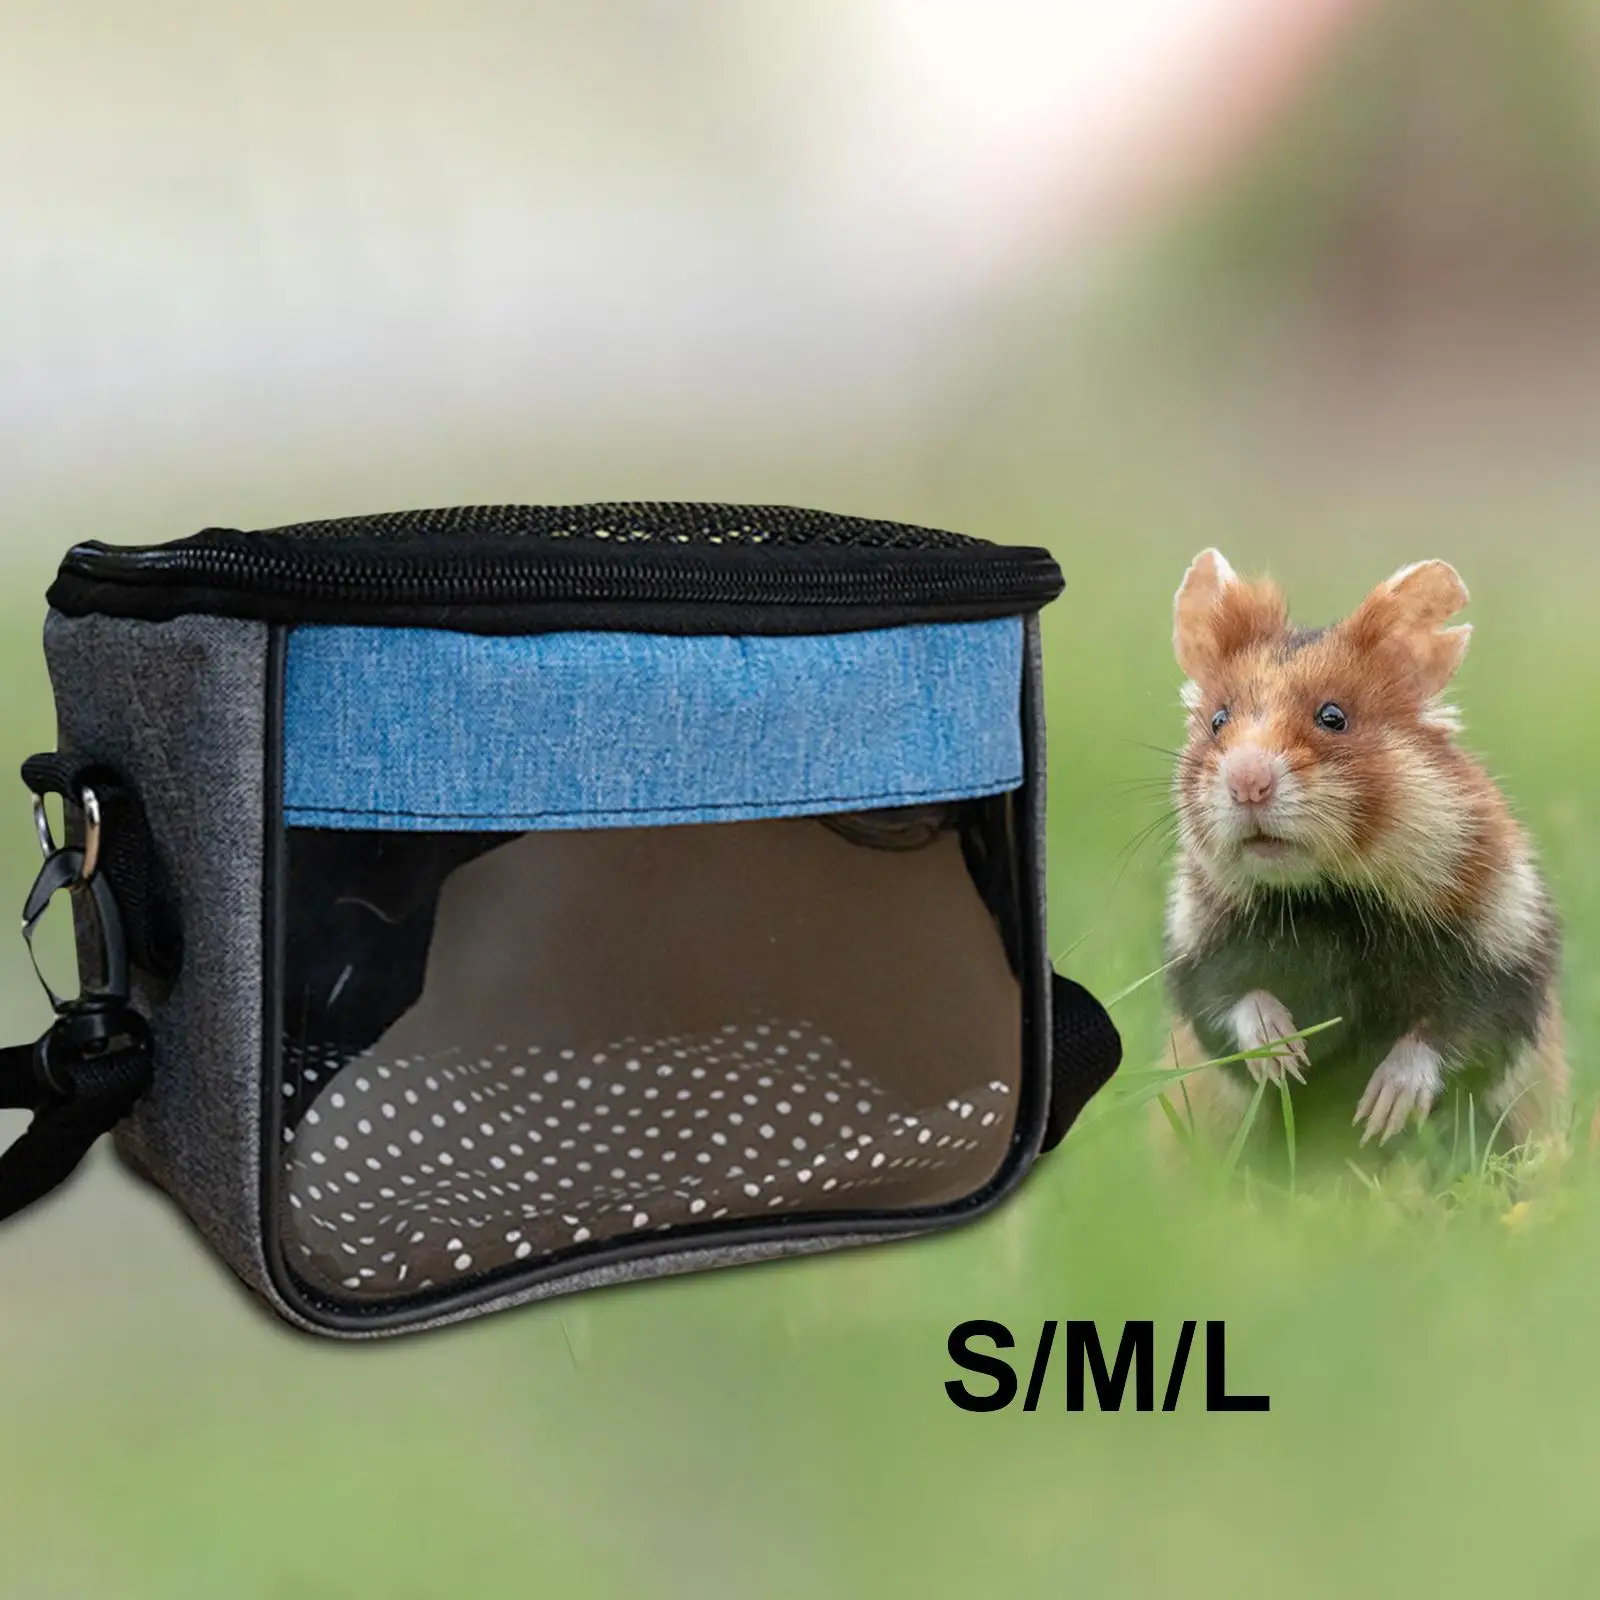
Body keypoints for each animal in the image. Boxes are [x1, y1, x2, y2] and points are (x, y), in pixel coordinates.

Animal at [1157, 550, 1567, 1164]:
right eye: (1218, 720)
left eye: (1334, 716)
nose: (1247, 782)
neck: (1330, 896)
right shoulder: (1199, 942)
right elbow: (1230, 1001)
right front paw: (1285, 1053)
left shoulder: (1506, 947)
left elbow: (1459, 1032)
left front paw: (1380, 1110)